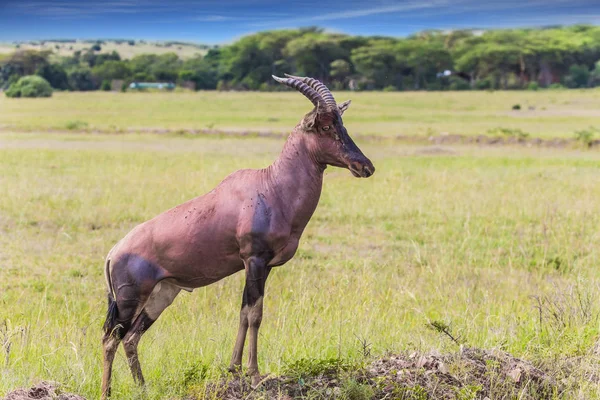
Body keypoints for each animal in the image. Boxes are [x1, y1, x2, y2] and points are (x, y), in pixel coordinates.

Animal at [102, 74, 376, 396]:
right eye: (324, 126)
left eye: (341, 124)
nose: (365, 166)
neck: (271, 185)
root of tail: (113, 254)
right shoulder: (254, 260)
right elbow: (256, 314)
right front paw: (255, 375)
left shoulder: (262, 266)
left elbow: (245, 312)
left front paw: (235, 368)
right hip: (129, 299)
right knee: (111, 339)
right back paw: (106, 391)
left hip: (163, 294)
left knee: (132, 338)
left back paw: (143, 388)